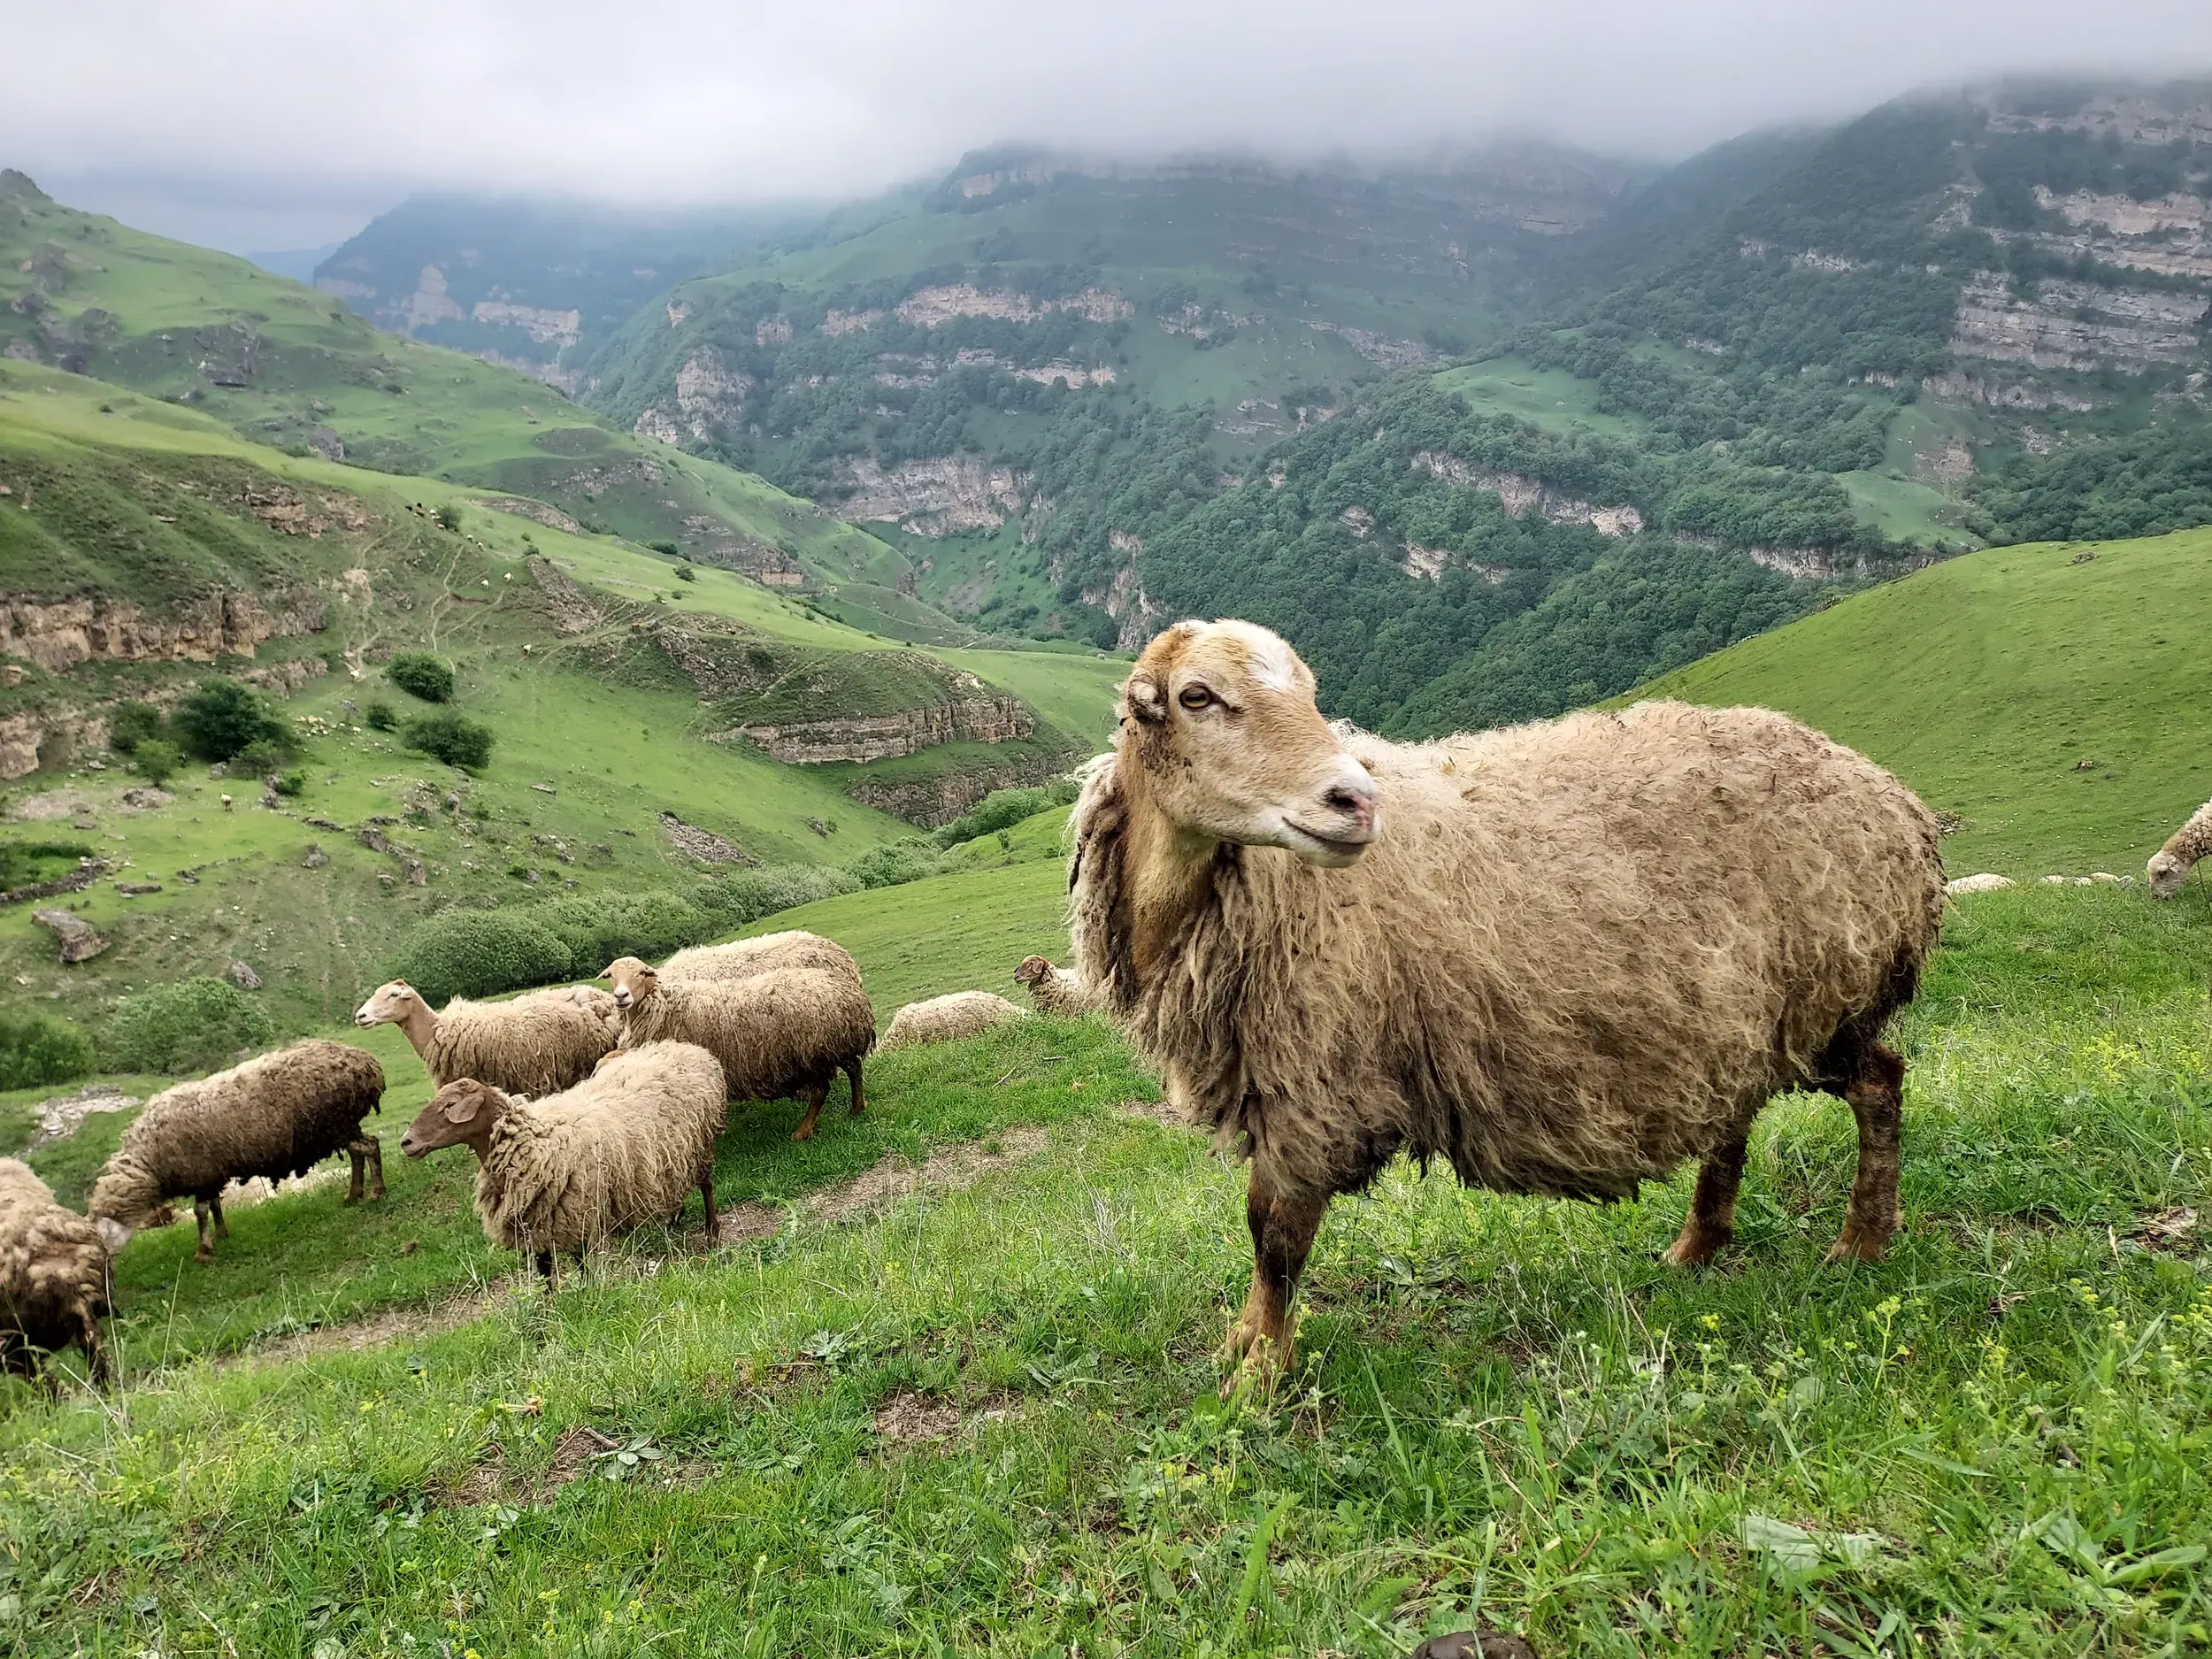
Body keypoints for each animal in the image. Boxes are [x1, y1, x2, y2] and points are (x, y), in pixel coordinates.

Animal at [87, 1040, 386, 1262]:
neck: (149, 1163)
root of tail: (369, 1065)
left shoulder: (202, 1174)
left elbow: (200, 1211)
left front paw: (203, 1251)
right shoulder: (212, 1174)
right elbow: (215, 1205)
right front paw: (221, 1234)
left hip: (336, 1126)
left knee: (371, 1146)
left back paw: (375, 1192)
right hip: (342, 1127)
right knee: (358, 1153)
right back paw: (353, 1194)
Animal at [398, 1041, 725, 1282]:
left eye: (450, 1106)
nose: (406, 1142)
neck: (532, 1139)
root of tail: (686, 1047)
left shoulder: (573, 1210)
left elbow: (580, 1260)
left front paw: (587, 1289)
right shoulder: (538, 1223)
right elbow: (544, 1272)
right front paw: (548, 1309)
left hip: (702, 1144)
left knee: (706, 1186)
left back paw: (713, 1232)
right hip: (673, 1152)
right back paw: (674, 1217)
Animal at [604, 957, 873, 1141]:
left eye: (642, 973)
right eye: (611, 976)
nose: (621, 996)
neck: (663, 1007)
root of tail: (849, 996)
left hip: (813, 1055)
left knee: (821, 1090)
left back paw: (802, 1131)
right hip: (836, 1045)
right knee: (854, 1068)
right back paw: (857, 1107)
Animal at [1070, 620, 1944, 1387]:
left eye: (1312, 693)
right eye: (1196, 695)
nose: (1356, 801)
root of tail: (1894, 800)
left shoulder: (1316, 1083)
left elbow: (1274, 1237)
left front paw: (1261, 1372)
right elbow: (1265, 1236)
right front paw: (1244, 1344)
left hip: (1829, 996)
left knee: (1881, 1082)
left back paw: (1862, 1242)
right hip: (1744, 1019)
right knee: (1739, 1113)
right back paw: (1698, 1243)